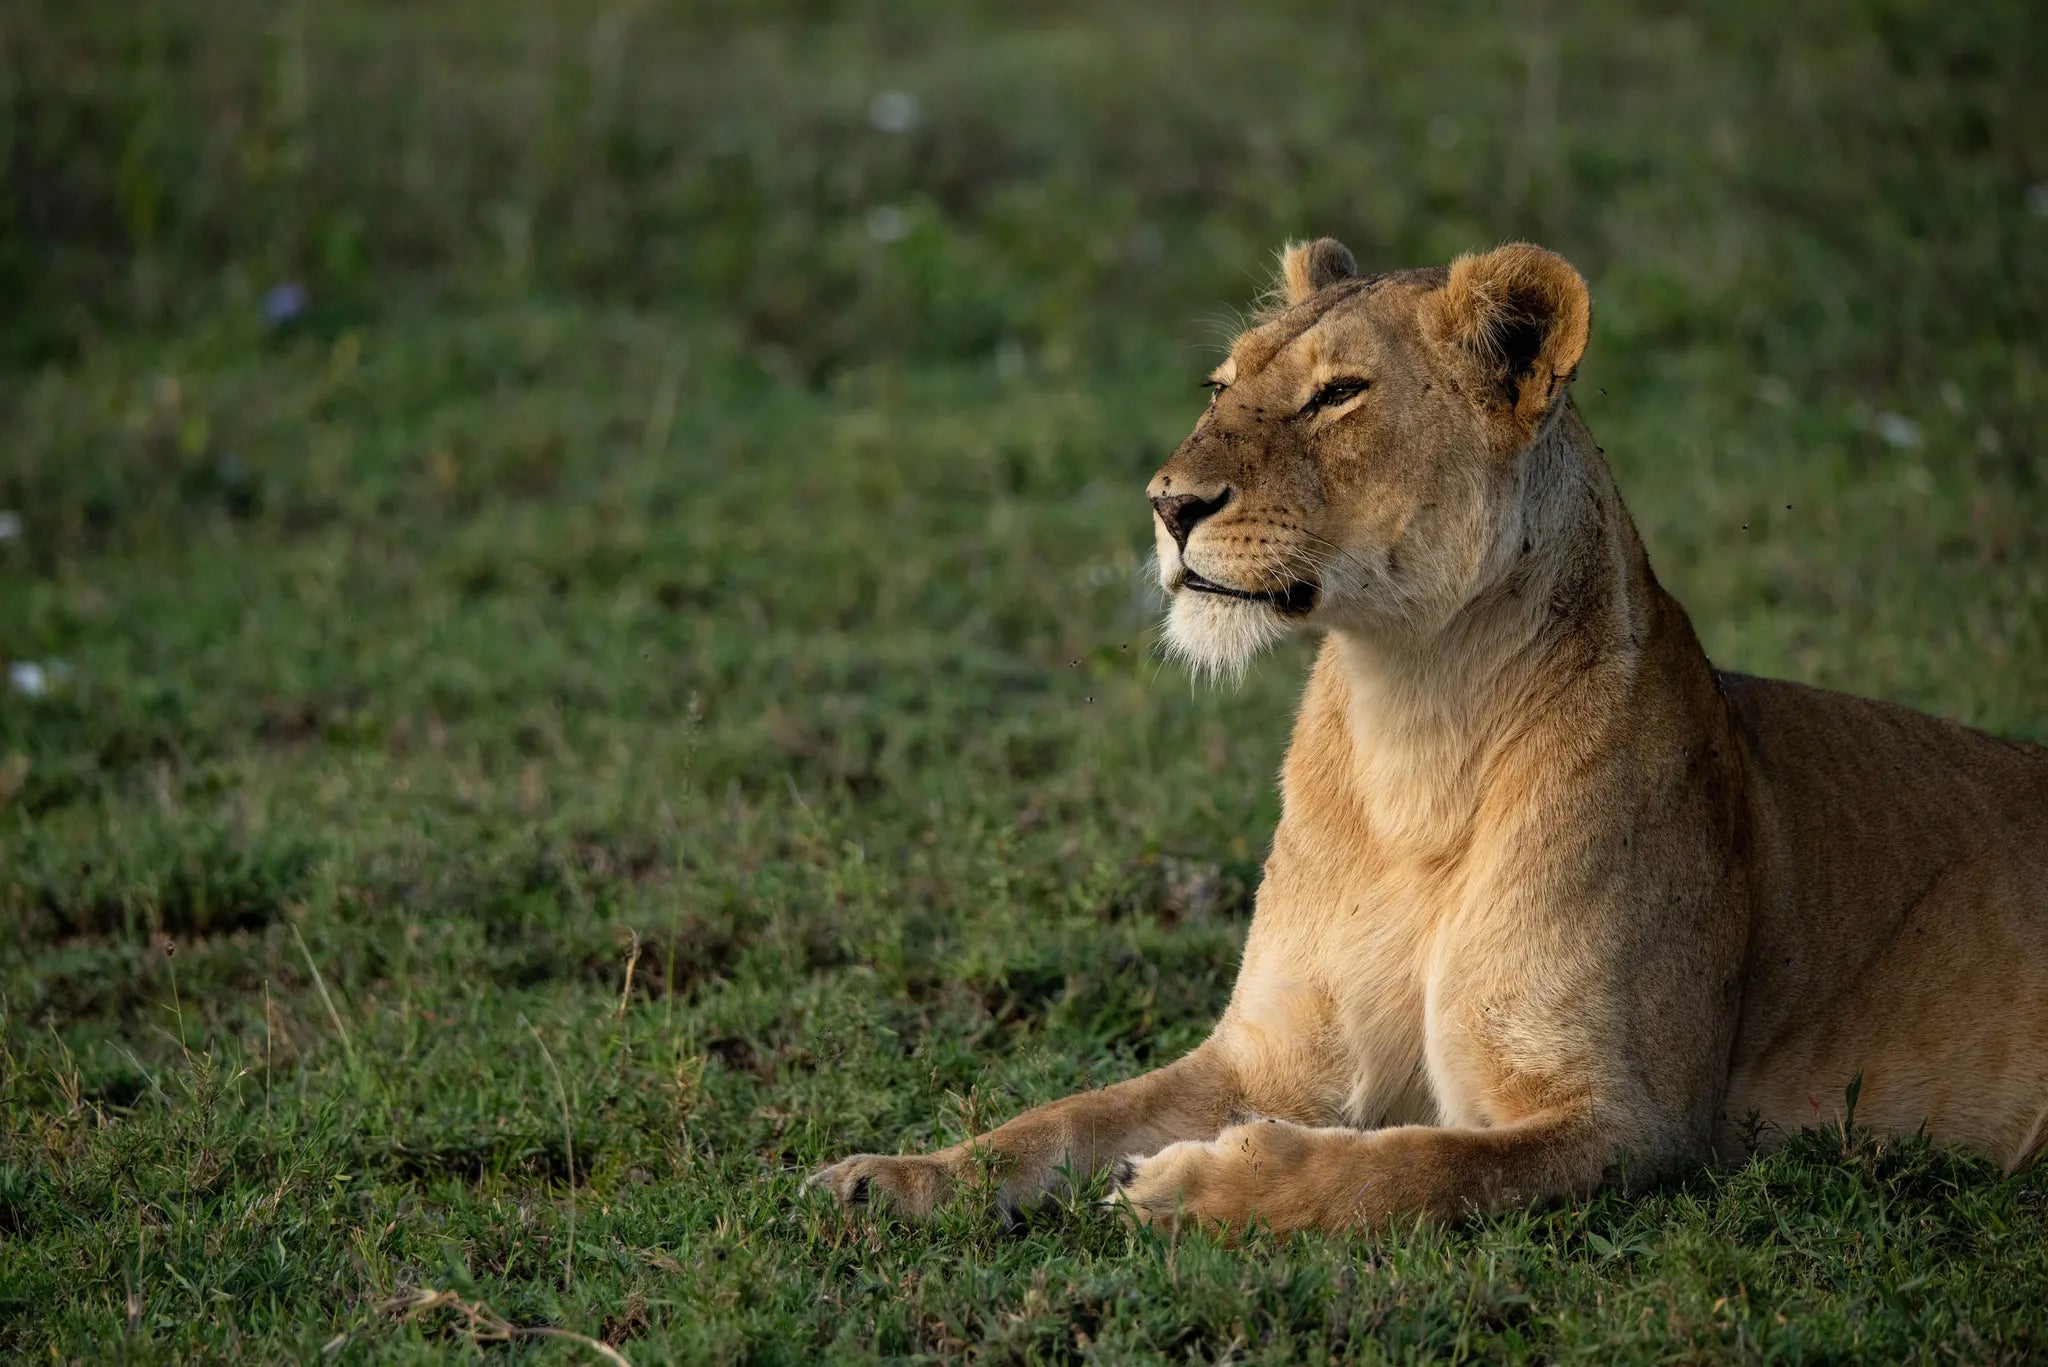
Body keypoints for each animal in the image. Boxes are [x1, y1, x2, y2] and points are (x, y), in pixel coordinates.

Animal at [809, 239, 2048, 1234]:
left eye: (1336, 395)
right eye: (1221, 383)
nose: (1167, 503)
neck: (1412, 724)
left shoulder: (1631, 1121)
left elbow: (1404, 1168)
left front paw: (1193, 1184)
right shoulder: (1265, 1052)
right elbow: (1064, 1116)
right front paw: (895, 1176)